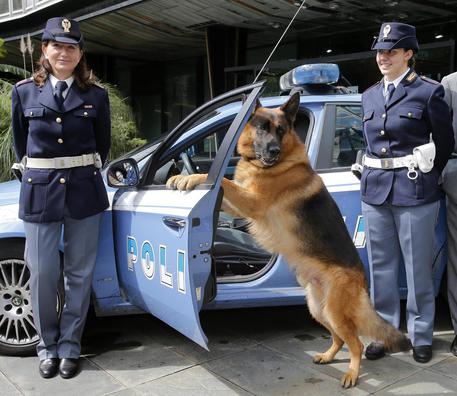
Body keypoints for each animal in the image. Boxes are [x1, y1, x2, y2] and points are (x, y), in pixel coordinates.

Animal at [167, 92, 410, 386]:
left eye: (281, 130)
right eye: (262, 128)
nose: (273, 151)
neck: (272, 164)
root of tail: (362, 280)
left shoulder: (252, 202)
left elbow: (223, 181)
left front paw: (191, 177)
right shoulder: (240, 205)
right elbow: (225, 186)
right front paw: (184, 177)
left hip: (334, 311)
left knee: (357, 344)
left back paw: (352, 373)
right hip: (319, 309)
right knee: (340, 338)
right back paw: (328, 356)